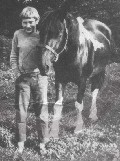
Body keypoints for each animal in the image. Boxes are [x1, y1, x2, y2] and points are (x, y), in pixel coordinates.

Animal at [36, 0, 120, 138]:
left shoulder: (82, 81)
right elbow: (57, 105)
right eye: (40, 31)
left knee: (94, 92)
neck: (74, 53)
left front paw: (78, 128)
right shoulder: (60, 80)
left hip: (100, 71)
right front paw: (53, 132)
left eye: (59, 32)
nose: (43, 65)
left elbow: (78, 105)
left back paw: (93, 115)